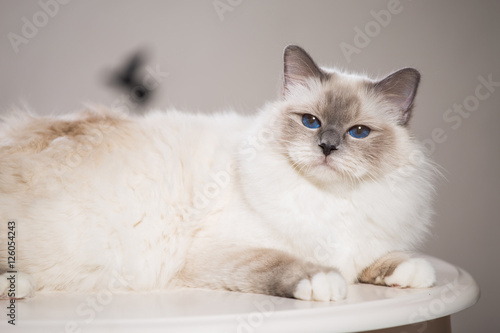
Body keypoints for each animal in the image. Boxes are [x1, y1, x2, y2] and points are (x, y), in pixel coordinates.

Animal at [0, 44, 436, 300]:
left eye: (358, 132)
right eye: (310, 122)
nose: (327, 147)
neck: (327, 201)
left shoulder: (365, 243)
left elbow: (382, 258)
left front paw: (413, 273)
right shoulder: (216, 254)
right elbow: (283, 263)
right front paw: (325, 283)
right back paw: (18, 287)